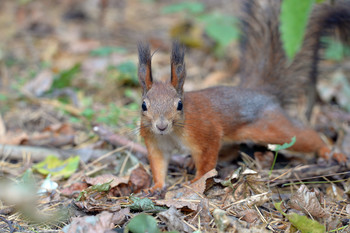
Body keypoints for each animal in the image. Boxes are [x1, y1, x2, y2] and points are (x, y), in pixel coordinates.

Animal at [137, 0, 350, 193]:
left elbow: (207, 162)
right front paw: (156, 186)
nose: (161, 125)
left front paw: (197, 180)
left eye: (180, 105)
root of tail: (261, 93)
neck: (171, 134)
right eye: (143, 106)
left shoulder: (206, 133)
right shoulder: (155, 144)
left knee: (305, 136)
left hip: (272, 128)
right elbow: (158, 165)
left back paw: (330, 152)